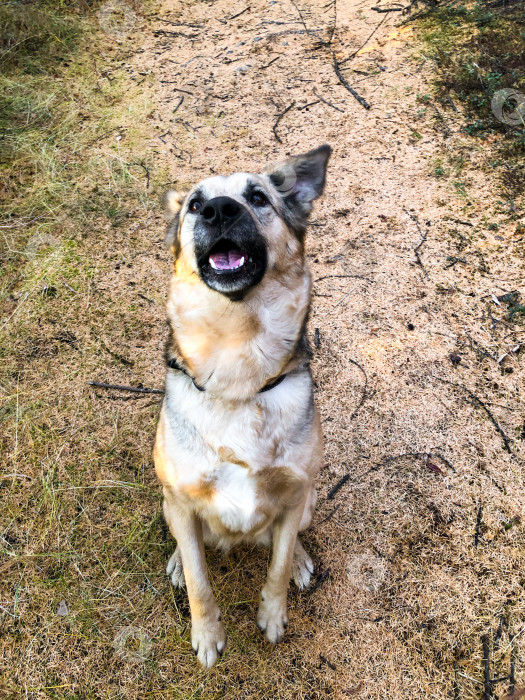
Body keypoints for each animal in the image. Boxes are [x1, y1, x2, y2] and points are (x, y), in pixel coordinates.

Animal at [154, 144, 330, 668]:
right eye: (195, 204)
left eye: (257, 197)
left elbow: (276, 568)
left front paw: (272, 616)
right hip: (168, 503)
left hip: (310, 501)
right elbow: (200, 583)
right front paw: (208, 634)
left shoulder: (293, 495)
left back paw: (301, 559)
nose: (219, 210)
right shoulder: (183, 500)